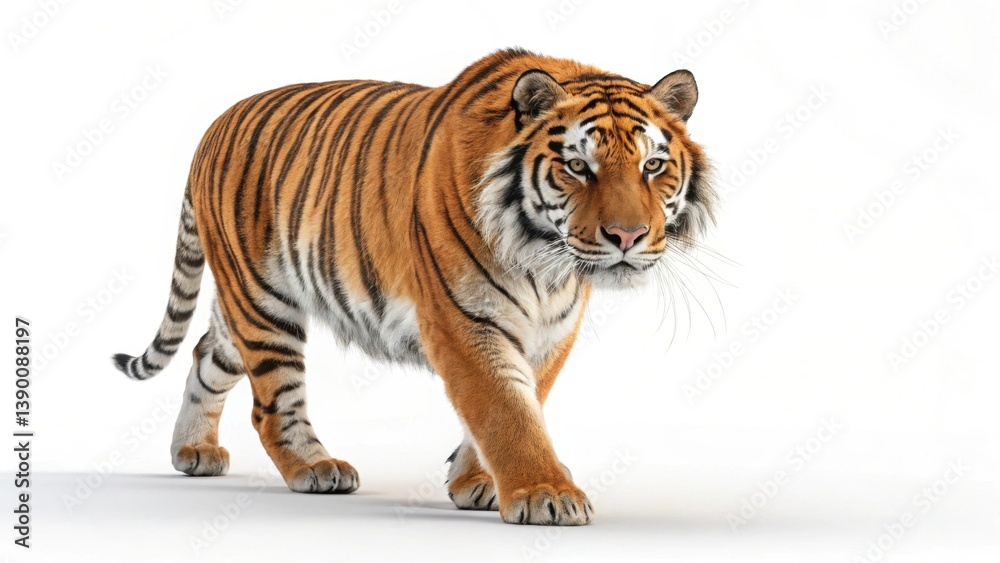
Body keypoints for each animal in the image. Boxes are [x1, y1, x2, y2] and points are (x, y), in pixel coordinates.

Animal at [112, 47, 715, 526]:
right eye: (578, 167)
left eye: (653, 166)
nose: (627, 236)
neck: (545, 263)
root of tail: (215, 124)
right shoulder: (461, 319)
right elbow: (504, 409)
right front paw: (546, 493)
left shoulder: (552, 330)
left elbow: (524, 399)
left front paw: (475, 482)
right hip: (263, 303)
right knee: (271, 404)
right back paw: (315, 466)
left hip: (245, 307)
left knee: (205, 354)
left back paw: (192, 451)